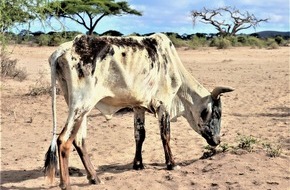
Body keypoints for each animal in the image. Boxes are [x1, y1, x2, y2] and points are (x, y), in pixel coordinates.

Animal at [44, 33, 234, 189]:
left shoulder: (138, 107)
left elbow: (139, 135)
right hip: (81, 104)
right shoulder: (163, 104)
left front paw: (138, 164)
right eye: (217, 114)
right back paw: (66, 184)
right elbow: (165, 135)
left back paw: (94, 178)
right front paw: (172, 164)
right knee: (63, 141)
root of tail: (65, 48)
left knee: (79, 141)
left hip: (77, 106)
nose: (217, 140)